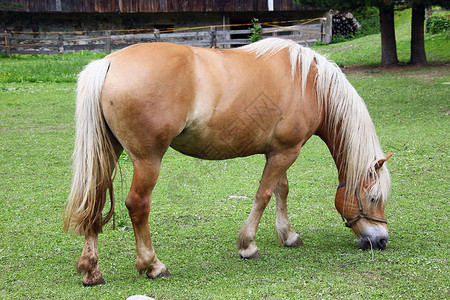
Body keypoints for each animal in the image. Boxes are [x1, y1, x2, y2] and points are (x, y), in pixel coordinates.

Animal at [62, 38, 390, 286]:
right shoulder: (287, 151)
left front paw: (288, 235)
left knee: (95, 198)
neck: (309, 83)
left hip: (109, 152)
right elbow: (264, 194)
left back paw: (91, 269)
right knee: (137, 205)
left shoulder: (279, 152)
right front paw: (248, 245)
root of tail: (108, 62)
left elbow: (281, 190)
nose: (381, 240)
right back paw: (153, 264)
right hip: (147, 160)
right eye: (373, 198)